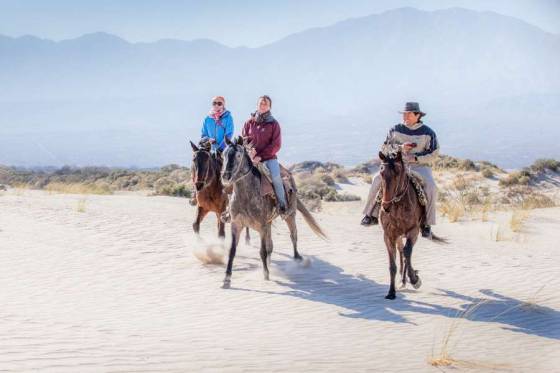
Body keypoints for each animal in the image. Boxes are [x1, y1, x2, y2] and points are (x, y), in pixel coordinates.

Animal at [220, 135, 326, 286]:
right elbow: (232, 251)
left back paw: (297, 258)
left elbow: (262, 251)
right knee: (271, 246)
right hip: (269, 224)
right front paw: (227, 279)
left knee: (293, 235)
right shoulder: (236, 225)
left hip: (290, 215)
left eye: (238, 155)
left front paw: (266, 274)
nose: (225, 176)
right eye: (223, 155)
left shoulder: (262, 226)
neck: (246, 195)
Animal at [376, 148, 446, 300]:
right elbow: (392, 265)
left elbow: (408, 253)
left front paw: (414, 279)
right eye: (381, 172)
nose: (385, 206)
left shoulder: (413, 231)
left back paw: (407, 279)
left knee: (406, 252)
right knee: (401, 251)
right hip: (397, 236)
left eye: (397, 172)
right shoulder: (388, 235)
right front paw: (391, 292)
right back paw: (402, 281)